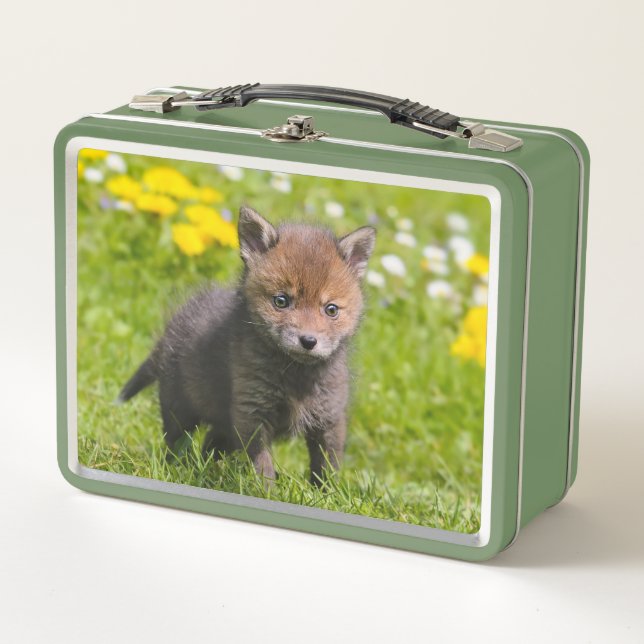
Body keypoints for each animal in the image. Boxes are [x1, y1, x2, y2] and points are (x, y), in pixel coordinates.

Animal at [118, 205, 376, 484]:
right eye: (281, 301)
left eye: (331, 309)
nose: (308, 341)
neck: (295, 377)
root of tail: (169, 331)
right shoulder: (251, 412)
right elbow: (263, 465)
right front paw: (266, 490)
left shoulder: (329, 418)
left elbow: (327, 468)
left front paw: (325, 493)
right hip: (180, 408)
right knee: (177, 443)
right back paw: (178, 469)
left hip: (223, 425)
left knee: (210, 445)